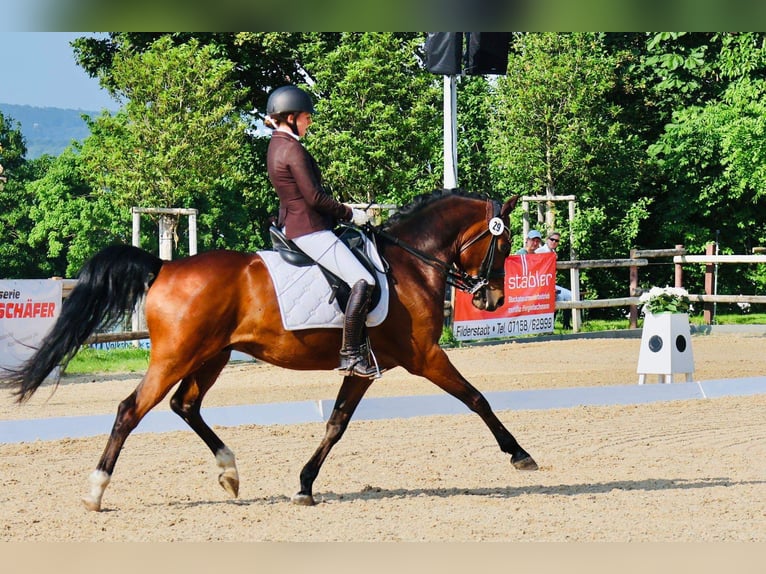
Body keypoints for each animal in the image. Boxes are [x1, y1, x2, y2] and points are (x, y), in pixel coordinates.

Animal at [1, 189, 540, 512]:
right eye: (503, 242)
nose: (493, 300)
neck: (410, 262)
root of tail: (165, 266)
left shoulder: (365, 366)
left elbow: (336, 423)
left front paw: (304, 485)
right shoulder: (424, 356)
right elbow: (477, 398)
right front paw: (520, 454)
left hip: (211, 356)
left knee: (185, 405)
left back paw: (230, 472)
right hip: (177, 356)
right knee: (130, 409)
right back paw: (95, 492)